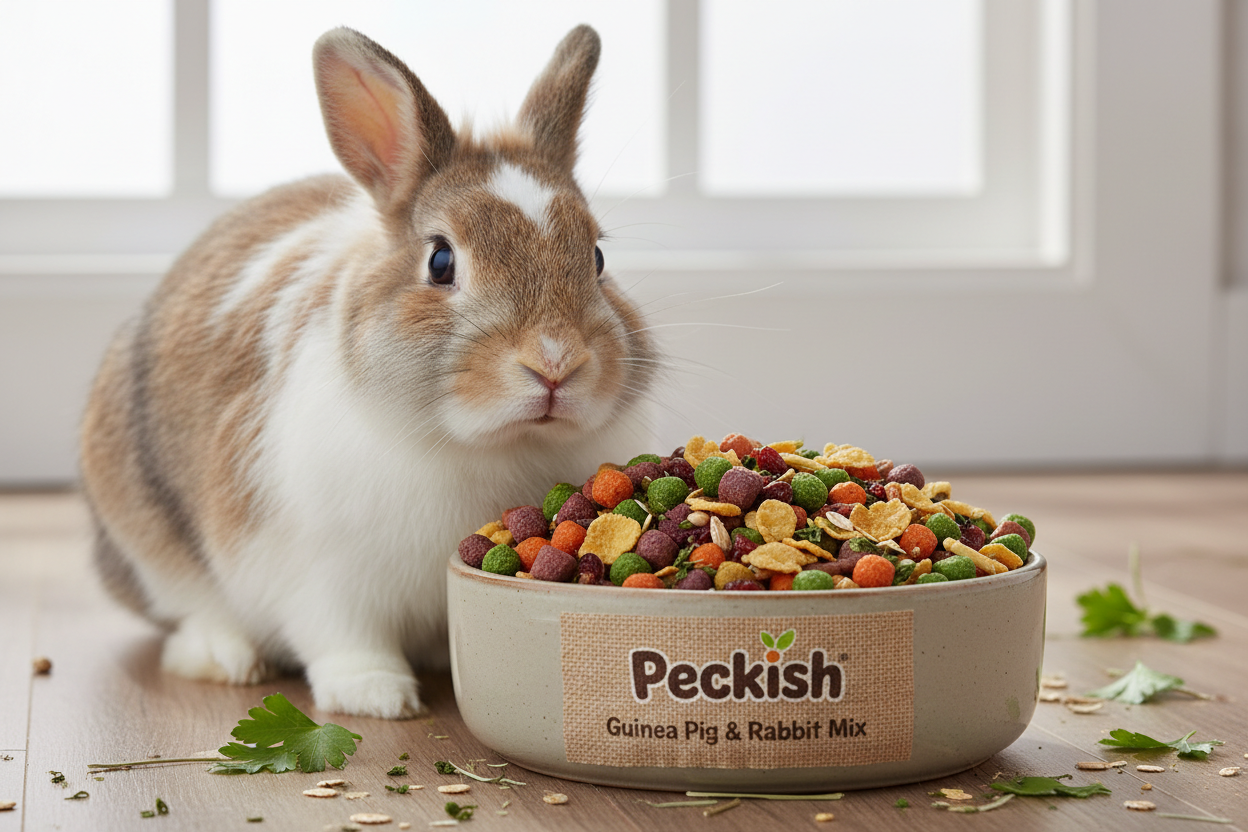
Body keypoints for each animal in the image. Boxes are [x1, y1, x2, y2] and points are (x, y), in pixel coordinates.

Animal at [79, 24, 657, 718]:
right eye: (440, 261)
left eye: (596, 257)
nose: (554, 363)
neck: (489, 446)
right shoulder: (317, 570)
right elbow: (343, 638)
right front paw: (377, 698)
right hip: (146, 538)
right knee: (191, 611)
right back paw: (224, 656)